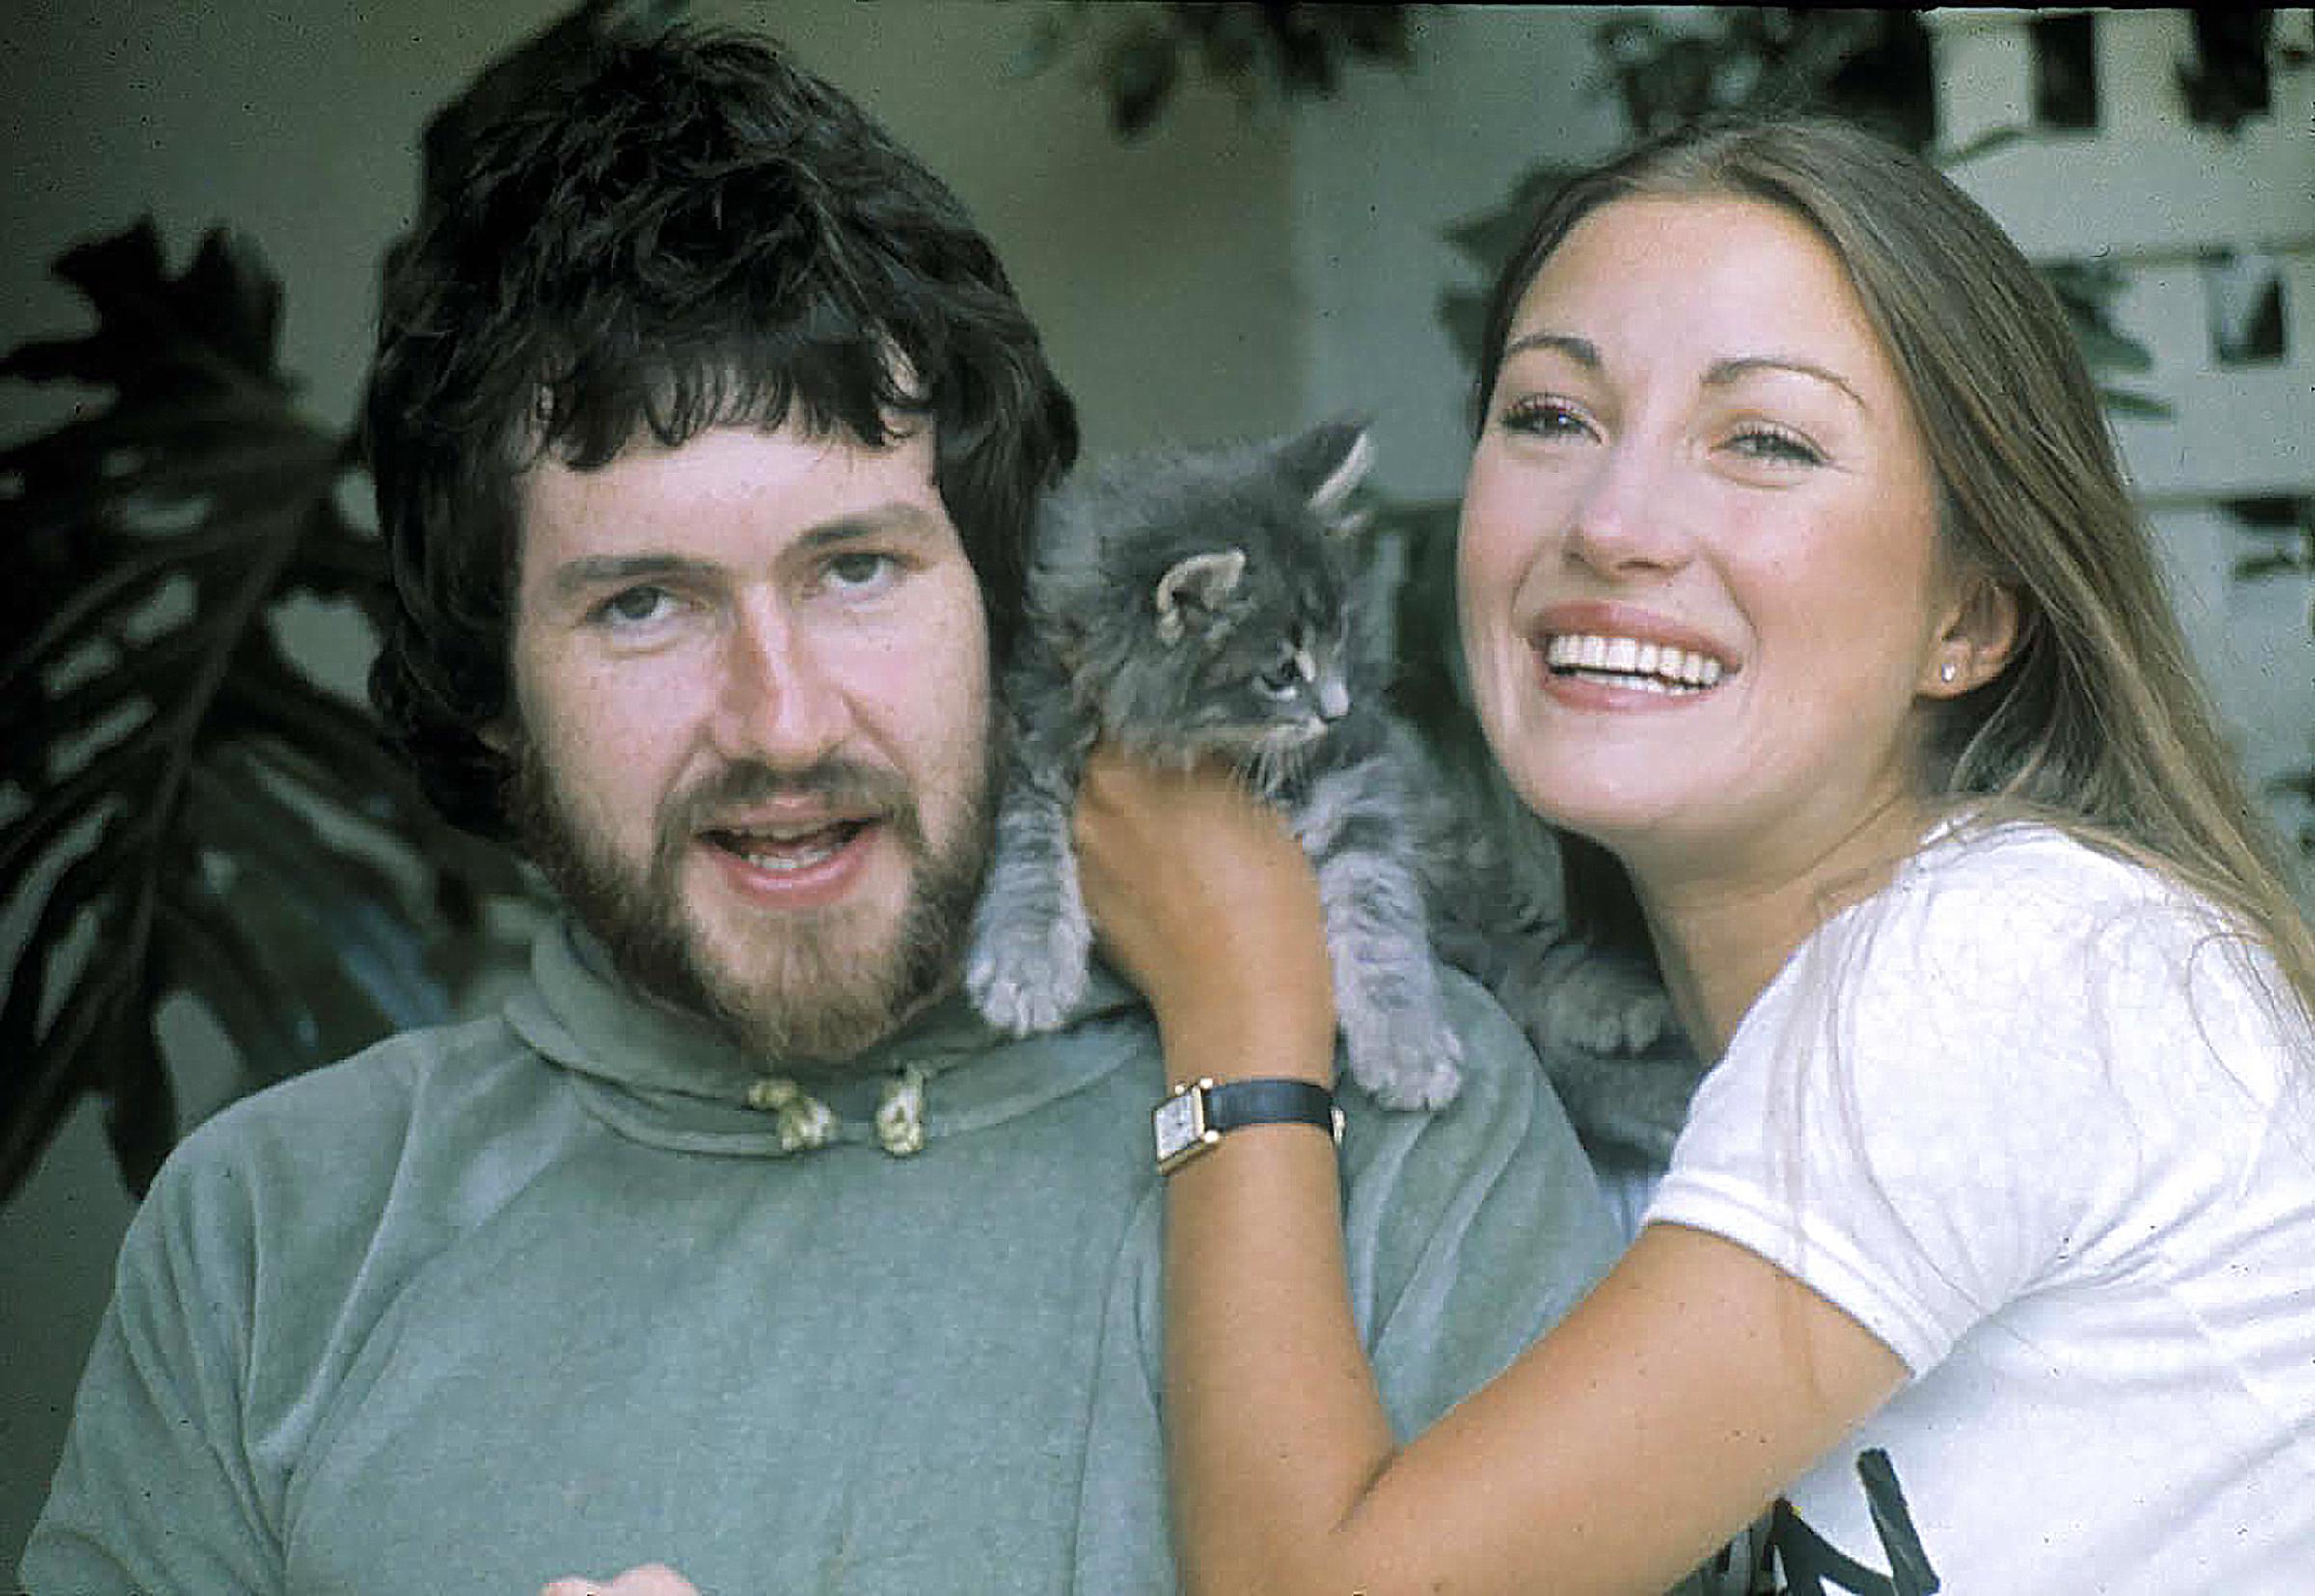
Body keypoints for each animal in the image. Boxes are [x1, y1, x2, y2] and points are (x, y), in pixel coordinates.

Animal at [967, 409, 1454, 1105]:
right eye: (1281, 673)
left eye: (1340, 639)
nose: (1335, 709)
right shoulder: (1034, 721)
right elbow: (1029, 842)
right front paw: (1027, 957)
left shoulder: (1353, 775)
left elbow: (1377, 896)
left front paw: (1407, 1040)